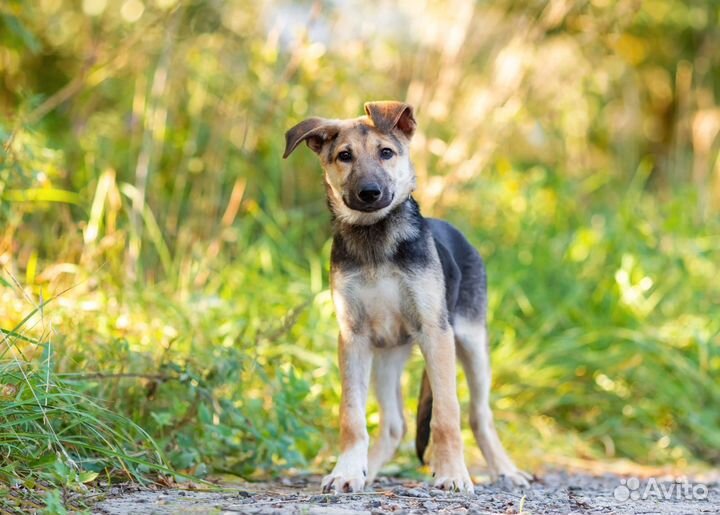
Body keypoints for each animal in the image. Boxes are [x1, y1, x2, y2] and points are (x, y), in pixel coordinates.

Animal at [282, 102, 528, 496]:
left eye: (386, 152)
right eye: (344, 156)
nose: (369, 193)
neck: (375, 239)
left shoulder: (435, 332)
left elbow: (447, 413)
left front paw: (453, 473)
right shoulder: (353, 336)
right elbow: (351, 415)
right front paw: (347, 470)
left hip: (472, 343)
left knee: (479, 414)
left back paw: (505, 470)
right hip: (386, 354)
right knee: (395, 424)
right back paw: (368, 469)